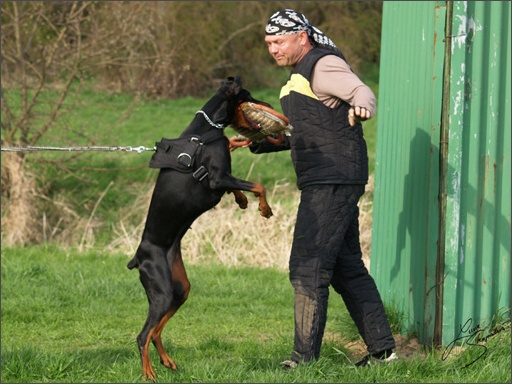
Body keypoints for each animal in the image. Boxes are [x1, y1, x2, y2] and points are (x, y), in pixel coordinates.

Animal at [126, 76, 274, 380]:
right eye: (248, 95)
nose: (268, 103)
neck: (206, 129)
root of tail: (138, 257)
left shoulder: (221, 178)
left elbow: (237, 180)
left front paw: (242, 200)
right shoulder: (217, 178)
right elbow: (257, 185)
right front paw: (263, 208)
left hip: (180, 287)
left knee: (156, 331)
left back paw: (167, 361)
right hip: (161, 289)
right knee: (143, 334)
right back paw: (148, 372)